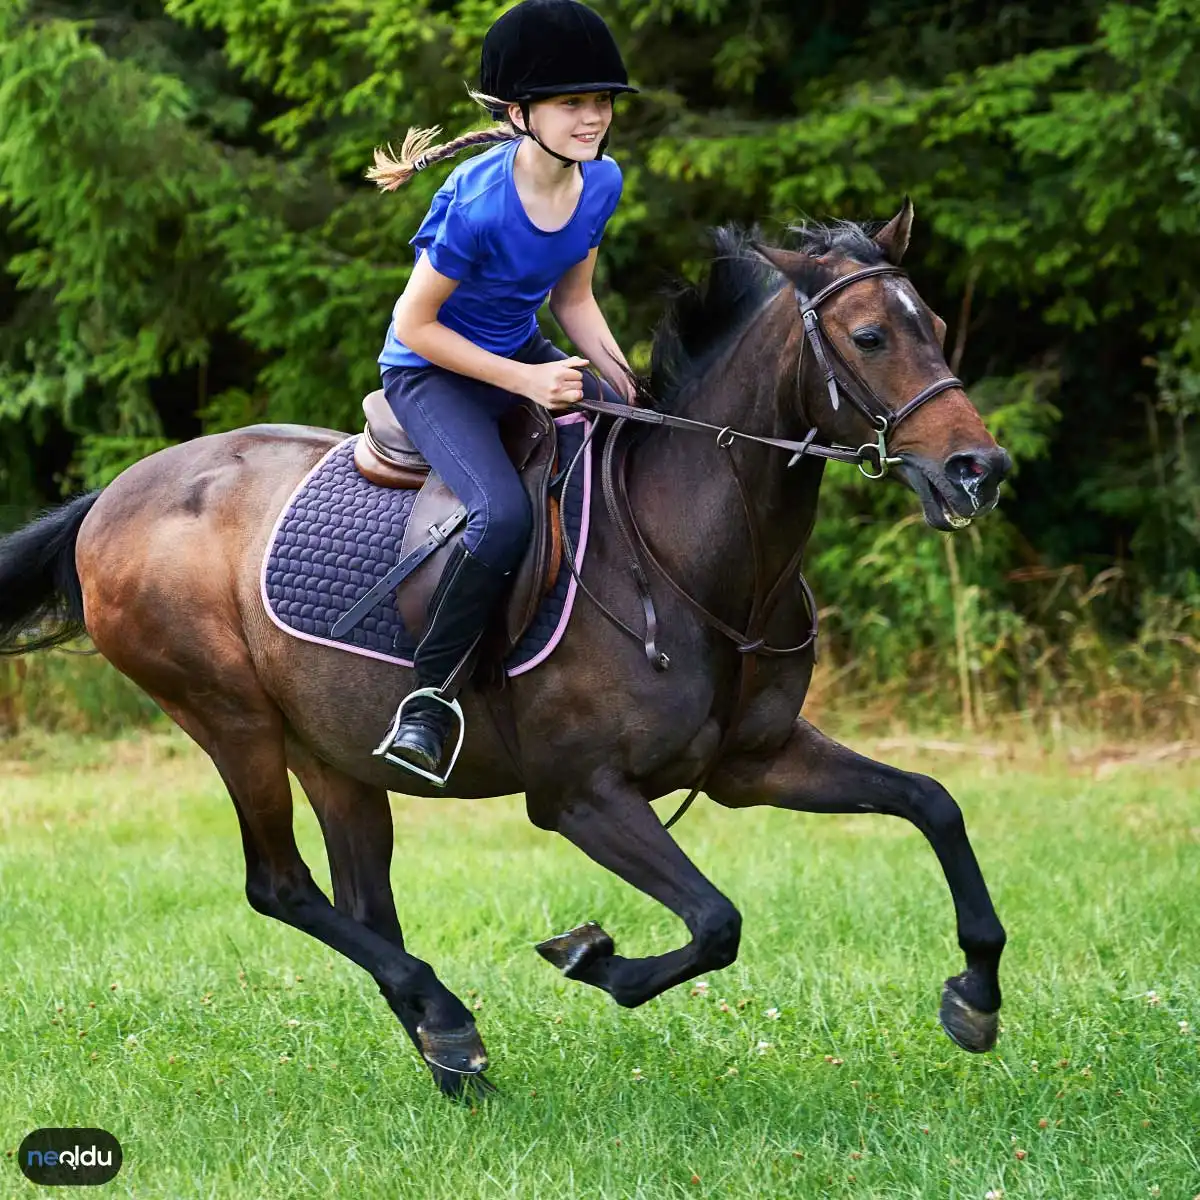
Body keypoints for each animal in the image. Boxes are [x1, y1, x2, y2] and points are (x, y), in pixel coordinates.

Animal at [0, 204, 1012, 1099]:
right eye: (872, 337)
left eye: (939, 327)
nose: (981, 470)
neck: (688, 551)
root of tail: (115, 495)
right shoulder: (578, 796)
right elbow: (717, 922)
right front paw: (592, 958)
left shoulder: (754, 762)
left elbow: (934, 803)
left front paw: (975, 995)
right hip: (231, 720)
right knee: (279, 886)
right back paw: (448, 1022)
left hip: (332, 751)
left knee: (361, 903)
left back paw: (448, 1050)